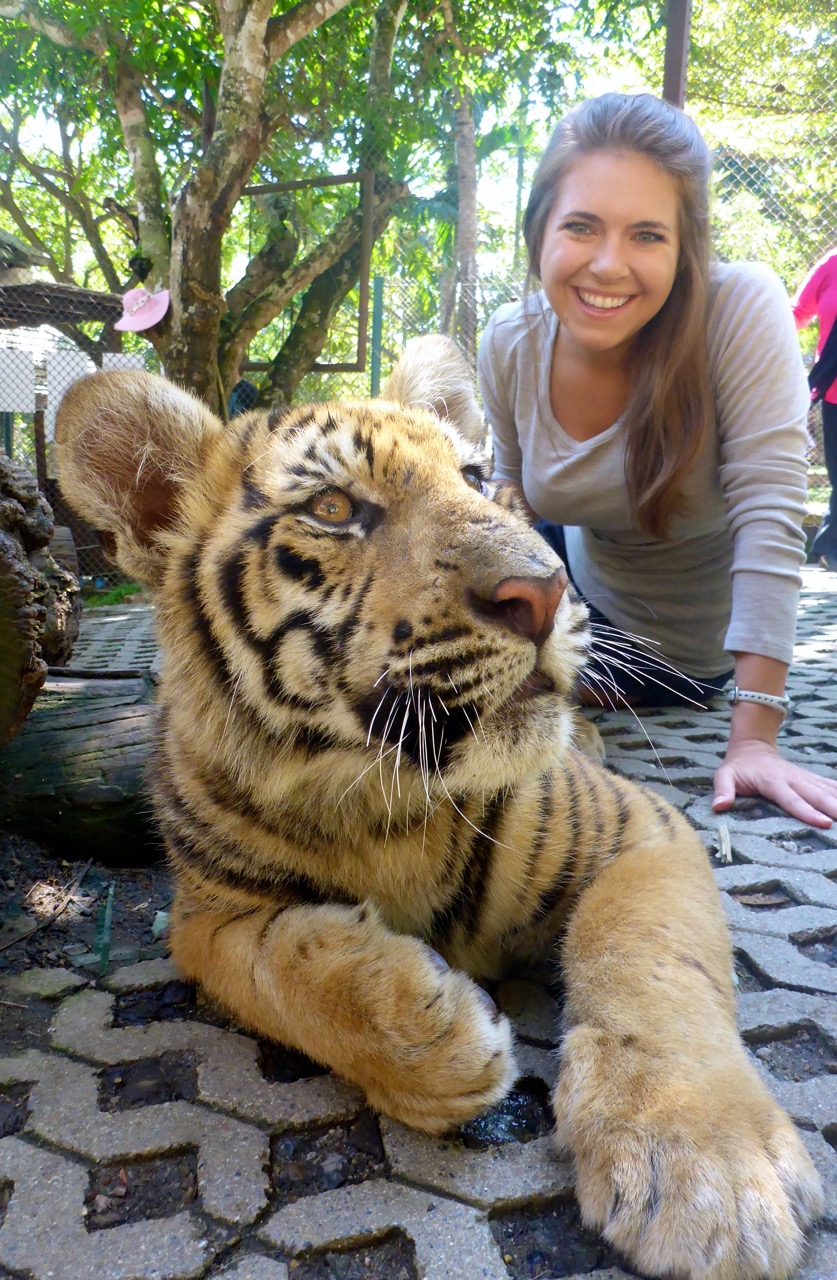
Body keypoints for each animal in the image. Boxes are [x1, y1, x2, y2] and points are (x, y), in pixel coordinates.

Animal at [57, 337, 824, 1280]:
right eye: (333, 508)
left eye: (475, 477)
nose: (544, 590)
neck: (374, 797)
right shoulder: (206, 917)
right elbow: (280, 968)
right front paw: (427, 1036)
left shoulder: (642, 830)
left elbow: (649, 964)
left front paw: (709, 1172)